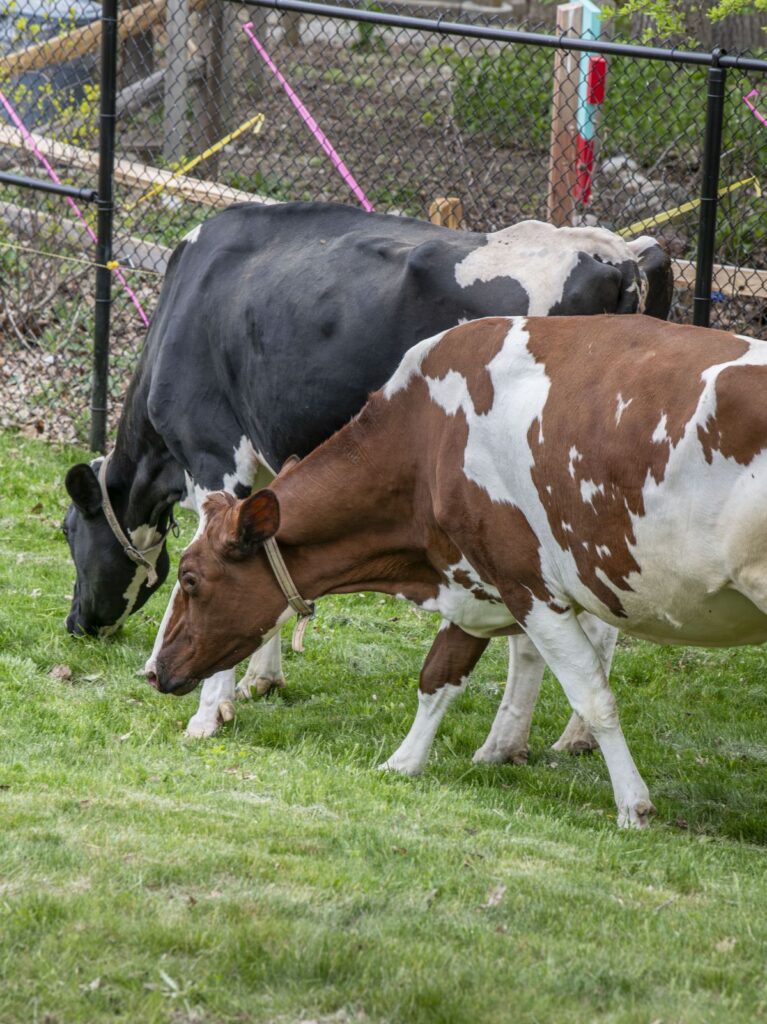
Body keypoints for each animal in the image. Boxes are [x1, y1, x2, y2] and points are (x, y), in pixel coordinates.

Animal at [63, 201, 672, 745]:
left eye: (69, 533)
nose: (77, 625)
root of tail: (618, 255)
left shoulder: (215, 453)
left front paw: (208, 711)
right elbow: (270, 563)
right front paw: (263, 678)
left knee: (549, 629)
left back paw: (514, 741)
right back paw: (570, 738)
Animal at [149, 314, 767, 828]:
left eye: (191, 579)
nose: (152, 671)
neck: (430, 437)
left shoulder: (527, 584)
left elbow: (592, 696)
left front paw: (632, 806)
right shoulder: (473, 580)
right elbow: (438, 676)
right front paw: (403, 762)